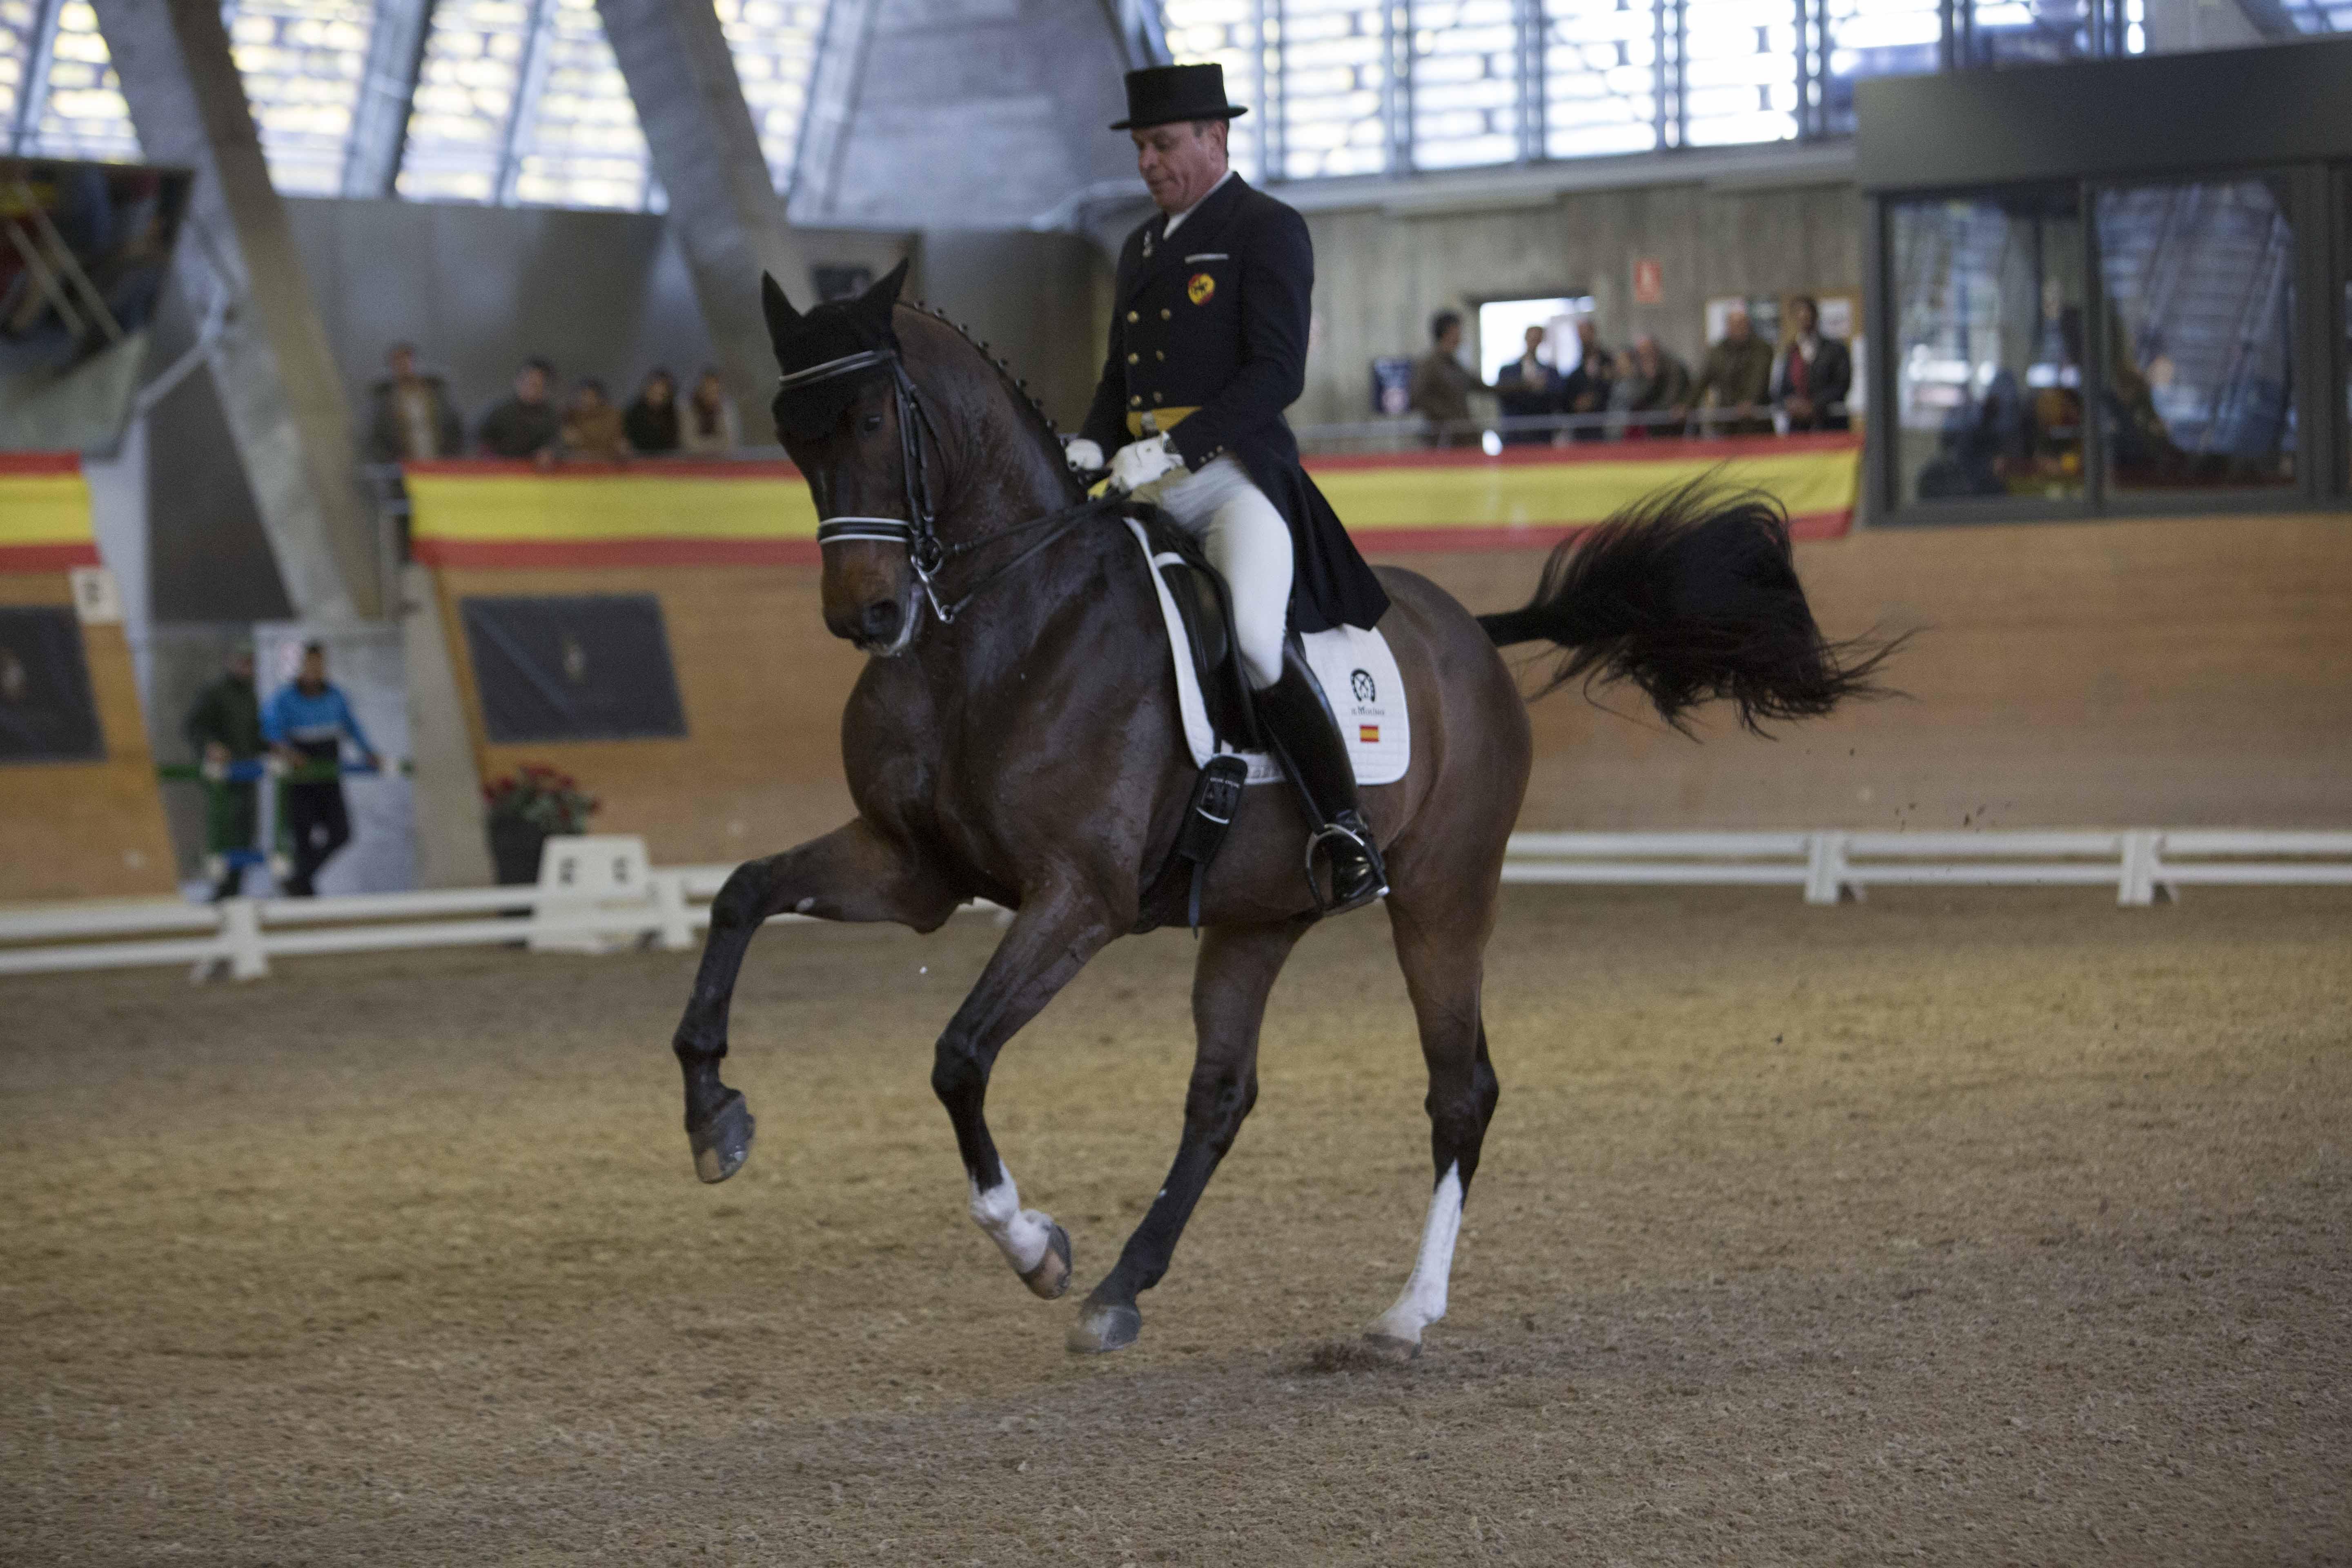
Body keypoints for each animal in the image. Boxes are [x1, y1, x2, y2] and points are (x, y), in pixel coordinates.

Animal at [668, 263, 1891, 1354]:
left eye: (876, 418)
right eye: (791, 434)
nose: (867, 618)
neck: (988, 629)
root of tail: (1470, 631)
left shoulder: (1078, 898)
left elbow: (959, 1055)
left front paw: (1035, 1245)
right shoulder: (910, 868)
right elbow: (739, 896)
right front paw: (714, 1118)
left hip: (1444, 894)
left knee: (1461, 1089)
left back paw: (1401, 1315)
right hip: (1258, 916)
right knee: (1222, 1094)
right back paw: (1123, 1289)